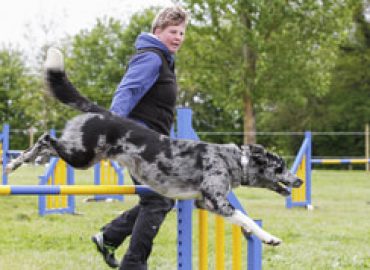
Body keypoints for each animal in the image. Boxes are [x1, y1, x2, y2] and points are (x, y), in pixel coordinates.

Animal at [7, 47, 302, 246]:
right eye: (280, 167)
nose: (298, 181)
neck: (232, 161)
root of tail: (104, 113)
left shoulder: (205, 203)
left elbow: (242, 219)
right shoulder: (218, 201)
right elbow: (245, 217)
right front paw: (270, 237)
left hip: (81, 155)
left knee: (46, 144)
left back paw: (15, 162)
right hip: (81, 156)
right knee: (45, 139)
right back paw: (13, 163)